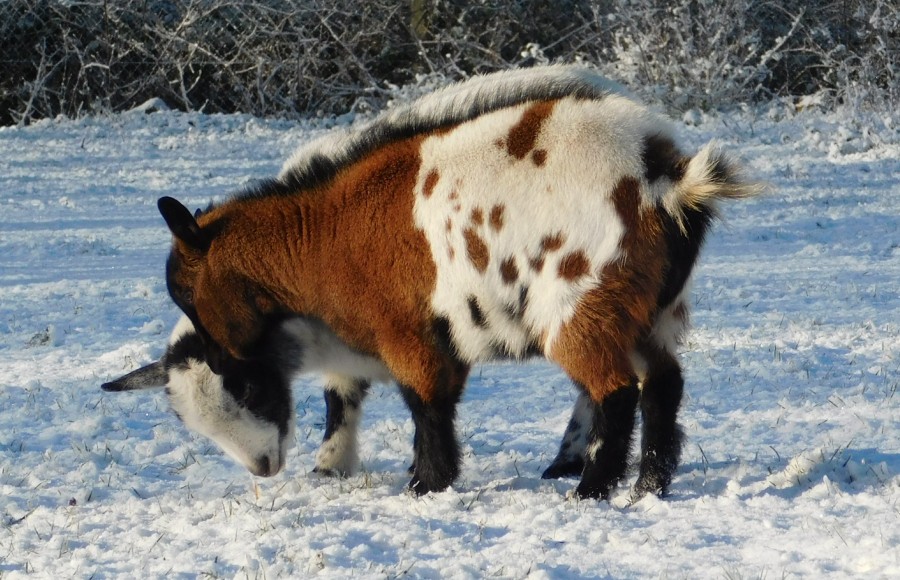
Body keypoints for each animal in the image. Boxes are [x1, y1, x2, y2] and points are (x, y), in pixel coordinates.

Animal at [156, 63, 760, 498]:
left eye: (184, 292)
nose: (222, 359)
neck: (324, 234)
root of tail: (663, 179)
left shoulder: (411, 335)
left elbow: (427, 407)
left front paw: (426, 483)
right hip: (653, 310)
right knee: (663, 385)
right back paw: (648, 486)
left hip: (580, 305)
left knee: (615, 392)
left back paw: (590, 489)